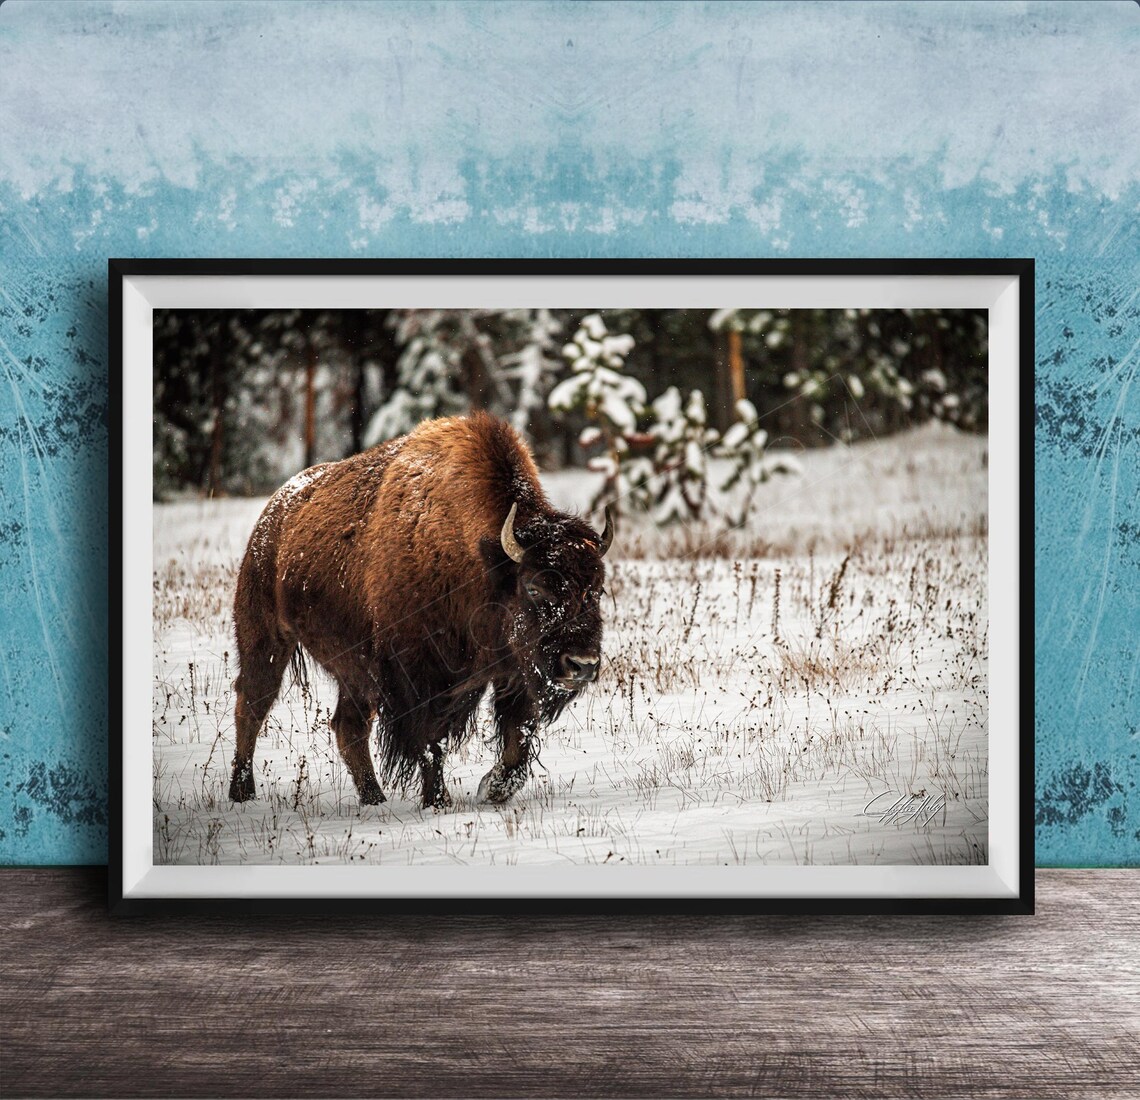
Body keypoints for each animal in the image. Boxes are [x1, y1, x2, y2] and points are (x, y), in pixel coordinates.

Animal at [228, 412, 612, 809]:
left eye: (596, 590)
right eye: (534, 588)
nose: (582, 665)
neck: (483, 561)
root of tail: (273, 516)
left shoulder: (515, 674)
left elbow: (517, 741)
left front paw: (491, 789)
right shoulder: (418, 678)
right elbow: (431, 741)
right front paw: (438, 801)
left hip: (354, 670)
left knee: (348, 727)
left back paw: (374, 798)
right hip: (266, 640)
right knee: (251, 705)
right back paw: (242, 792)